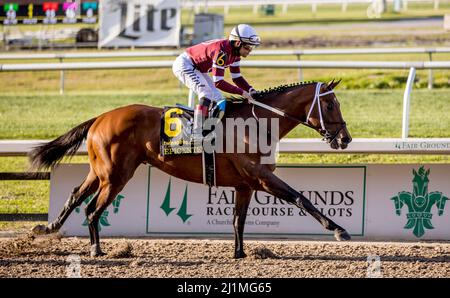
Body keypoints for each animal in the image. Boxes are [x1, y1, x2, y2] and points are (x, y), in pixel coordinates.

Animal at [30, 80, 352, 258]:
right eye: (331, 105)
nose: (345, 139)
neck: (258, 123)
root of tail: (99, 118)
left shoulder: (244, 184)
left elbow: (238, 220)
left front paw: (239, 253)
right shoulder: (260, 177)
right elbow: (300, 197)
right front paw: (338, 230)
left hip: (100, 173)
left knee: (76, 195)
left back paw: (50, 226)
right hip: (116, 176)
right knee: (93, 209)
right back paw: (96, 249)